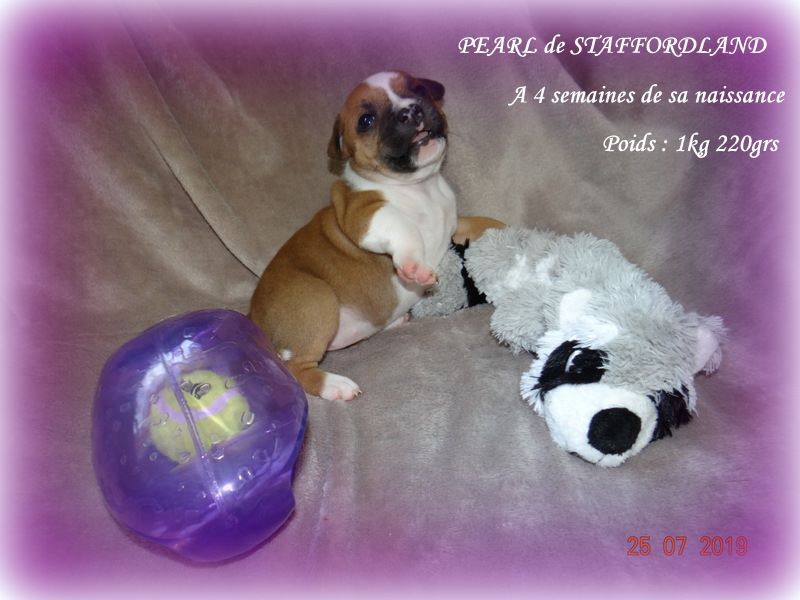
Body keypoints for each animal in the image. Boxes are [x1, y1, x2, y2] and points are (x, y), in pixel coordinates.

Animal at [249, 71, 504, 400]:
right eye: (366, 120)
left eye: (419, 89)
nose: (410, 111)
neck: (421, 188)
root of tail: (253, 320)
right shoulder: (364, 215)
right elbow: (404, 227)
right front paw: (413, 267)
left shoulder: (453, 224)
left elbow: (477, 222)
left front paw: (506, 233)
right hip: (315, 299)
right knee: (297, 368)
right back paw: (335, 385)